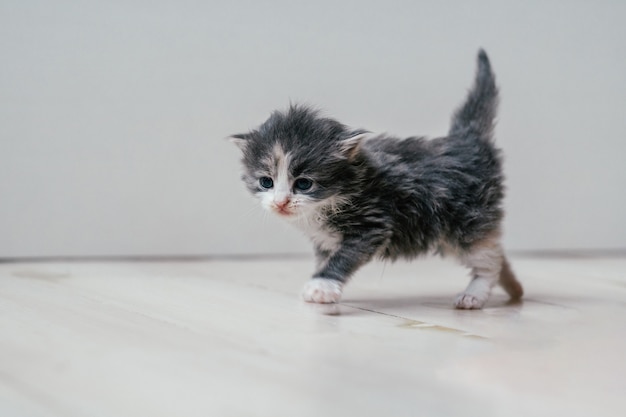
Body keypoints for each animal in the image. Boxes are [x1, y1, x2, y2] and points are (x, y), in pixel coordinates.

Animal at [232, 49, 520, 308]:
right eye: (266, 182)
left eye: (304, 183)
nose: (280, 202)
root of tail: (466, 140)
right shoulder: (325, 239)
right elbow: (325, 258)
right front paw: (322, 283)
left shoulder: (373, 223)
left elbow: (343, 257)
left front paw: (322, 286)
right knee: (495, 249)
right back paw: (514, 288)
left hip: (466, 220)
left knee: (488, 259)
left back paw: (475, 294)